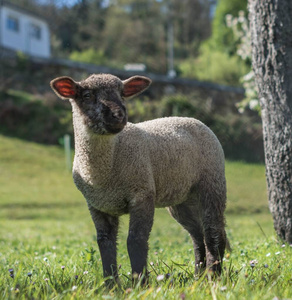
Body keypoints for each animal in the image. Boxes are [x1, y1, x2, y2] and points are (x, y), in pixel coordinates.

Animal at [50, 73, 228, 286]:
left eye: (122, 94)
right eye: (87, 95)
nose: (118, 115)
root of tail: (193, 119)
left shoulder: (142, 193)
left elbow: (135, 240)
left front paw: (140, 283)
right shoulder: (97, 205)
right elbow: (104, 243)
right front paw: (111, 286)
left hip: (212, 181)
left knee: (213, 233)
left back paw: (212, 277)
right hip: (183, 199)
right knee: (197, 235)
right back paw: (197, 276)